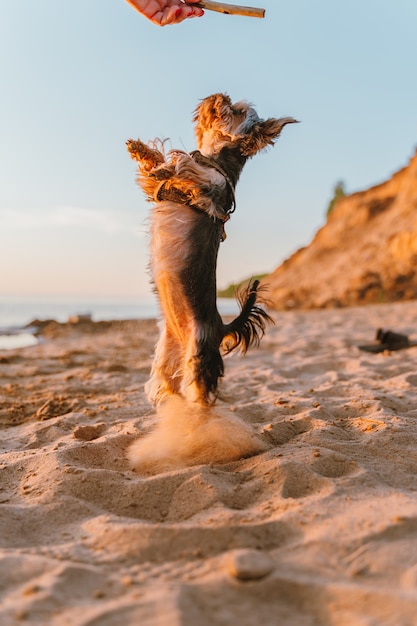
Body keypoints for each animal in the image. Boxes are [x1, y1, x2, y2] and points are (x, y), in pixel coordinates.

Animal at [126, 95, 296, 470]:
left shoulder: (206, 188)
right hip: (167, 355)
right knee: (168, 386)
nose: (220, 96)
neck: (216, 159)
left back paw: (195, 435)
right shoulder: (161, 192)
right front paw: (143, 151)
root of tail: (220, 327)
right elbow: (157, 169)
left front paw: (167, 164)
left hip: (198, 357)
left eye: (236, 111)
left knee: (200, 399)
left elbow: (185, 167)